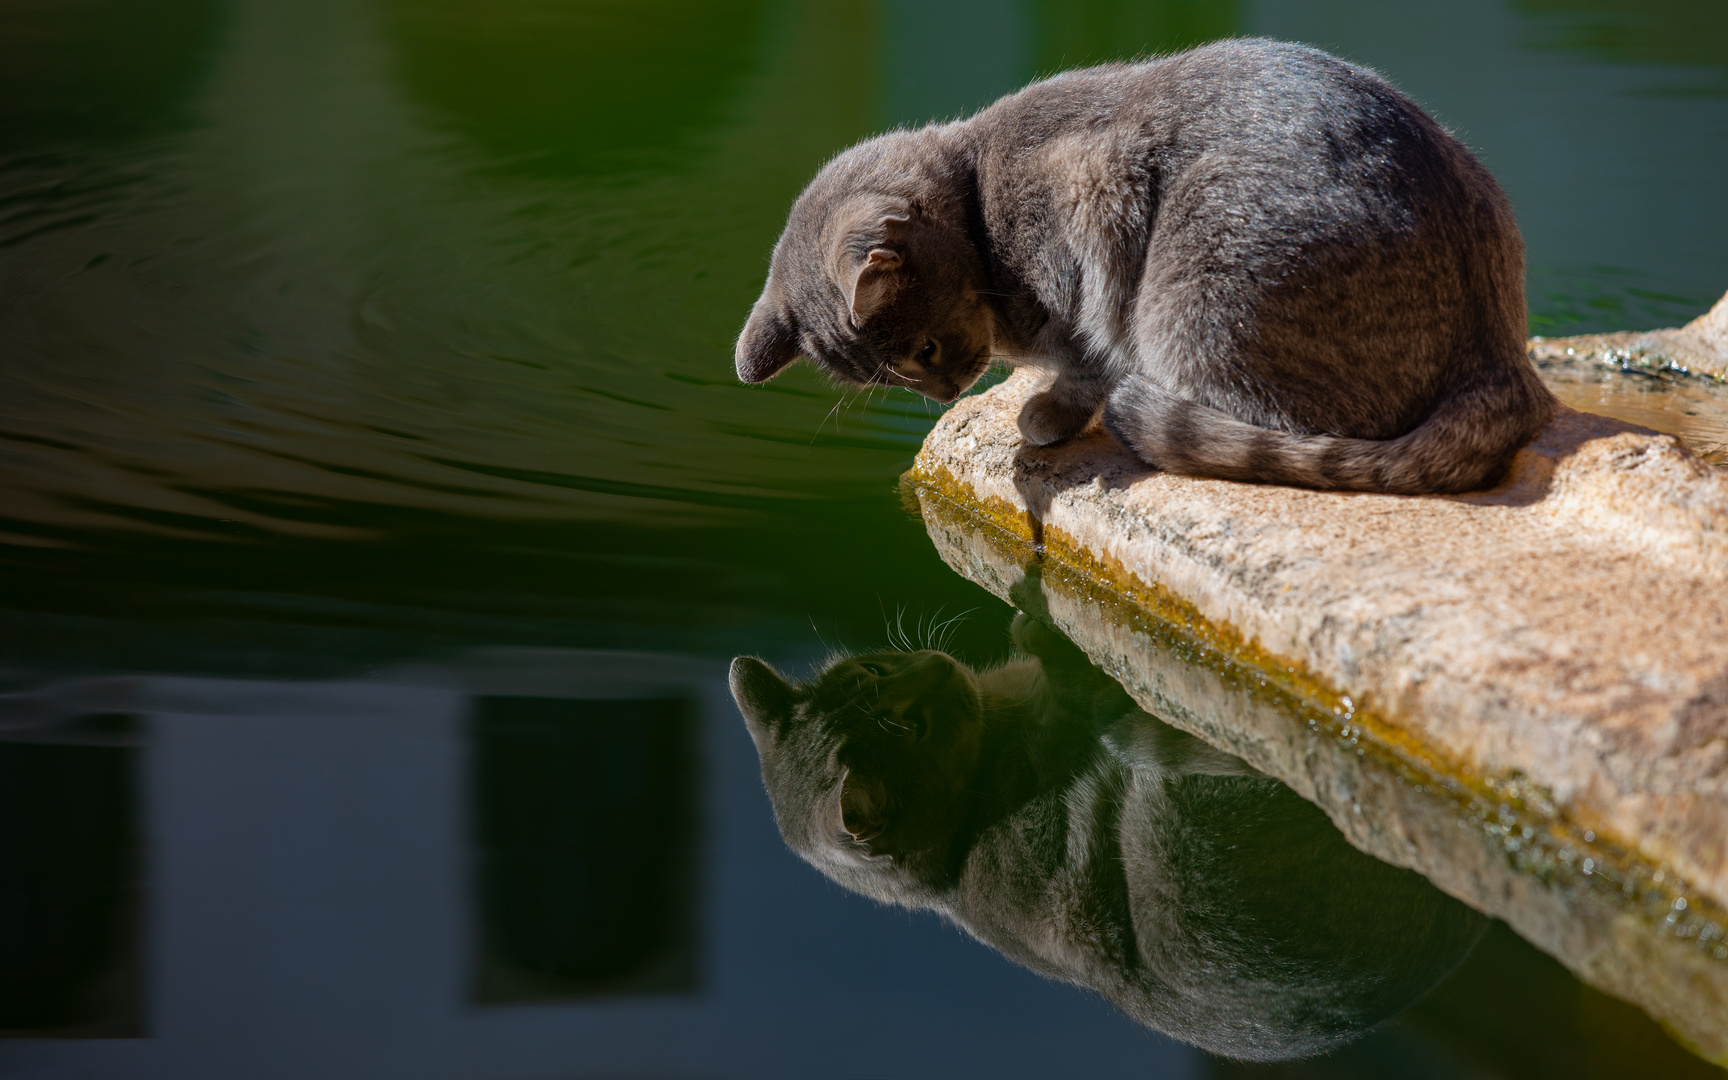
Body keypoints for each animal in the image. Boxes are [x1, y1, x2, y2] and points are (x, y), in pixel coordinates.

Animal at [736, 38, 1562, 494]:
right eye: (895, 379)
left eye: (923, 349)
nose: (941, 394)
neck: (978, 205)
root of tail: (1501, 353)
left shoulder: (1089, 222)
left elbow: (1086, 361)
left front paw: (1047, 412)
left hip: (1199, 288)